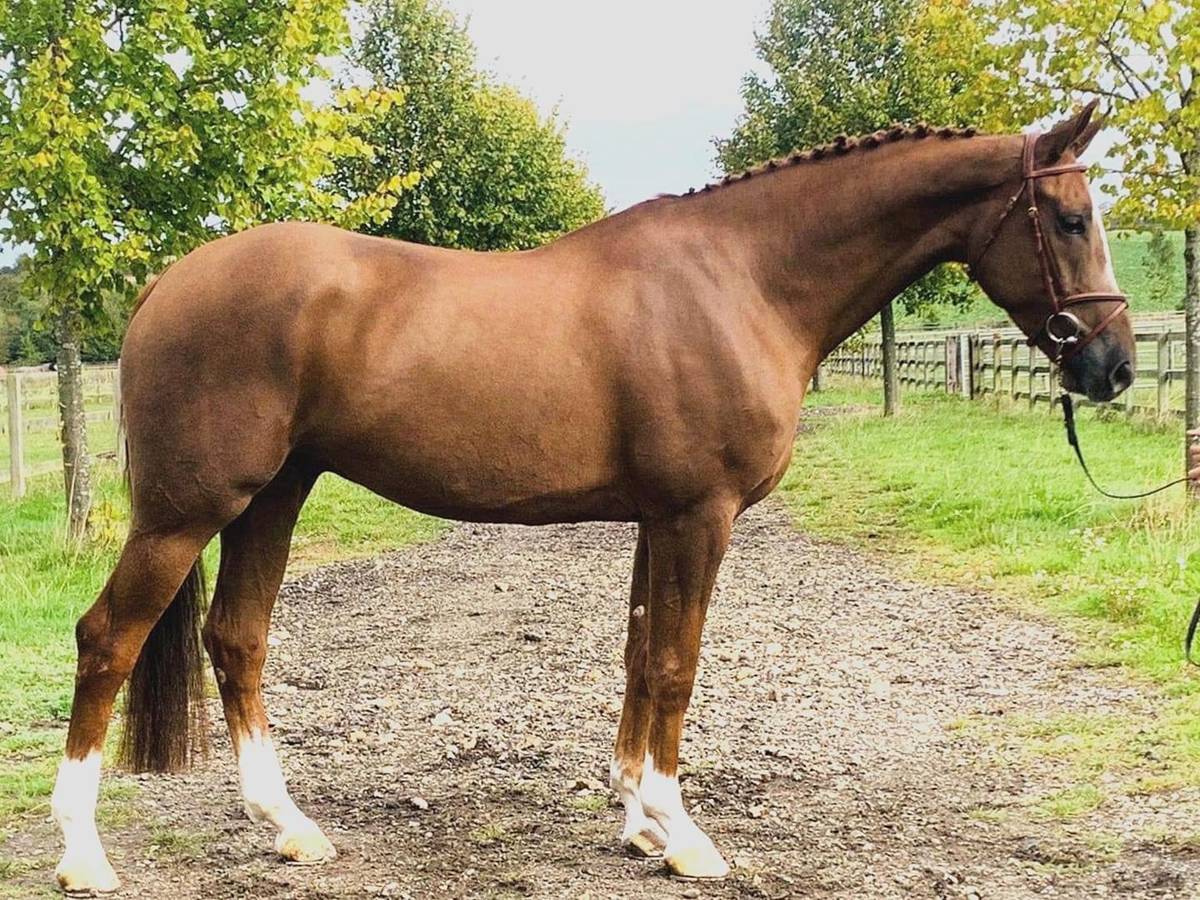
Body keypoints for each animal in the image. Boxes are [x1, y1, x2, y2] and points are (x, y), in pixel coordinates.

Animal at [50, 101, 1133, 892]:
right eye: (1071, 220)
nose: (1115, 367)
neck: (740, 281)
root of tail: (166, 284)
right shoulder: (700, 515)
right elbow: (676, 667)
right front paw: (683, 835)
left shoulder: (661, 517)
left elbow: (640, 657)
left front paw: (640, 823)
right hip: (187, 512)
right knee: (107, 639)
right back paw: (82, 856)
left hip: (273, 496)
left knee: (237, 637)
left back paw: (288, 828)